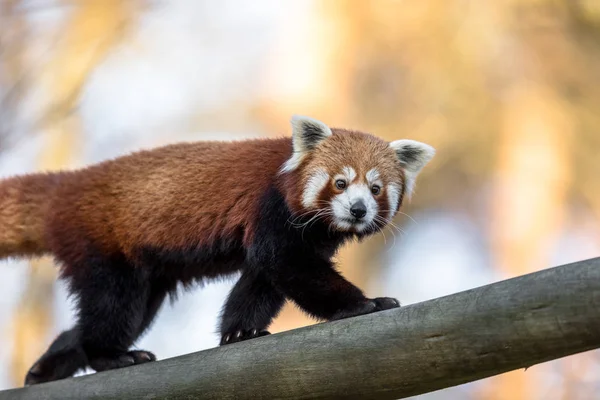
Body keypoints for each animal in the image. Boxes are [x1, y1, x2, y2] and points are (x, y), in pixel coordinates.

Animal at [0, 115, 432, 384]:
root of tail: (68, 184)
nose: (358, 210)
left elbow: (262, 280)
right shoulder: (271, 207)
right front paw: (364, 303)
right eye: (341, 183)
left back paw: (49, 366)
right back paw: (109, 355)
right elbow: (284, 263)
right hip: (103, 242)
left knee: (129, 311)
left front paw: (240, 331)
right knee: (113, 303)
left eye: (375, 189)